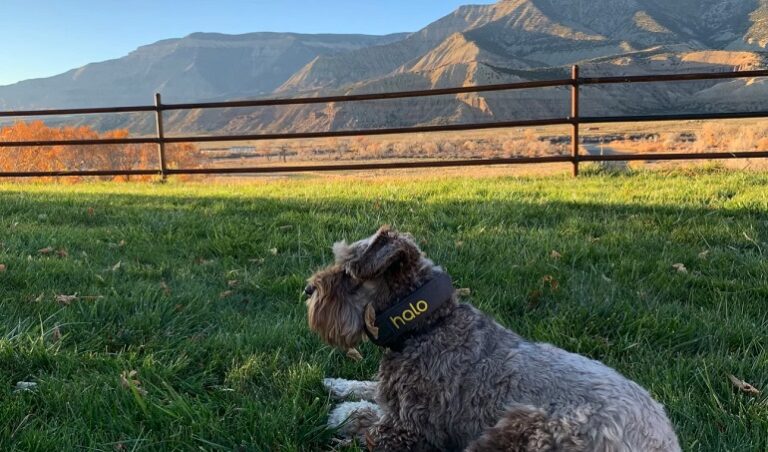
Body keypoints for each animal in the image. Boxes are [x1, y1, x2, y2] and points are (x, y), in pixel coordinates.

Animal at [304, 228, 680, 450]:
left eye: (347, 273)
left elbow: (368, 420)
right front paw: (337, 385)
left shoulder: (407, 429)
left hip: (525, 427)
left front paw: (343, 415)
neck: (427, 325)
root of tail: (668, 441)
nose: (308, 289)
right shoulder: (390, 394)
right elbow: (369, 388)